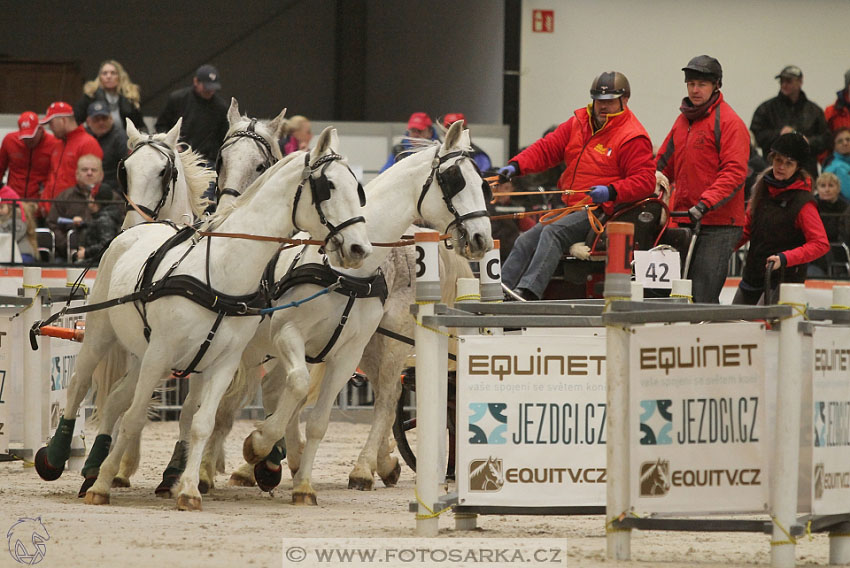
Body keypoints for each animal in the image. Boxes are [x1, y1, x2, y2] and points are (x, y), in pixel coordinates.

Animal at [230, 118, 490, 502]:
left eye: (482, 182)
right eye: (456, 179)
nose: (481, 238)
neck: (345, 271)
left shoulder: (339, 349)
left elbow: (305, 400)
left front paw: (270, 454)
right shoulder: (289, 337)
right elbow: (290, 390)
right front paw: (268, 456)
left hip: (390, 341)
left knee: (388, 397)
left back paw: (365, 468)